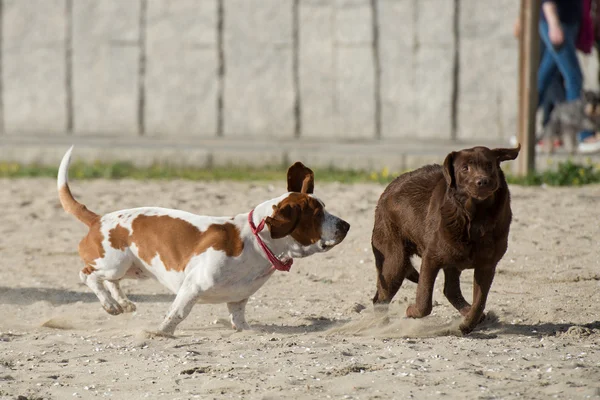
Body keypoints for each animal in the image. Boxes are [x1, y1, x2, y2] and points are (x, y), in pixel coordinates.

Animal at [58, 147, 350, 334]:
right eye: (316, 214)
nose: (346, 226)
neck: (255, 243)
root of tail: (98, 219)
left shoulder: (238, 299)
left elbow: (240, 320)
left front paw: (248, 331)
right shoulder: (192, 287)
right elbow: (176, 313)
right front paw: (160, 332)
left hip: (131, 269)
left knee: (111, 282)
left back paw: (123, 303)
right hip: (114, 263)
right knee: (88, 275)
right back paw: (110, 305)